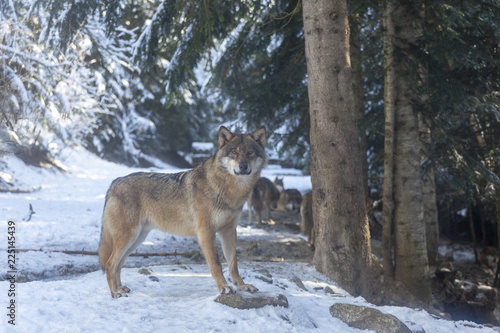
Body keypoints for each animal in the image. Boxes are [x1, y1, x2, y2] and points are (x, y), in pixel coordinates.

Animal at [99, 126, 268, 296]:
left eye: (250, 152)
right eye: (234, 152)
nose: (243, 166)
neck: (229, 189)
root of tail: (114, 183)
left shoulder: (229, 231)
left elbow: (233, 264)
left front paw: (242, 286)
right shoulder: (206, 232)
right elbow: (216, 264)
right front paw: (224, 287)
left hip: (137, 239)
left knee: (118, 264)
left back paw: (121, 288)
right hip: (129, 237)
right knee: (110, 263)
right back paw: (115, 293)